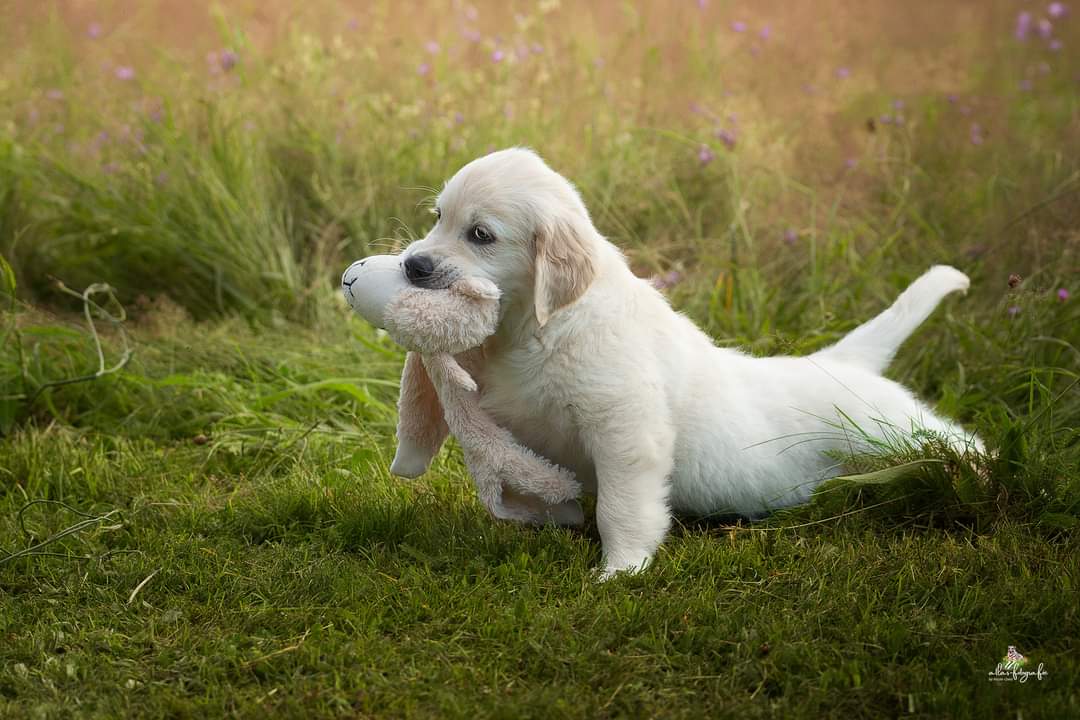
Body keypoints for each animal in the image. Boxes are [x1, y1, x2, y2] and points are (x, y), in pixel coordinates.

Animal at [395, 147, 980, 578]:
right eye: (439, 218)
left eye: (481, 235)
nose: (412, 265)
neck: (540, 325)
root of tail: (840, 361)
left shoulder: (625, 427)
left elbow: (621, 506)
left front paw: (621, 570)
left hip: (887, 429)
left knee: (956, 440)